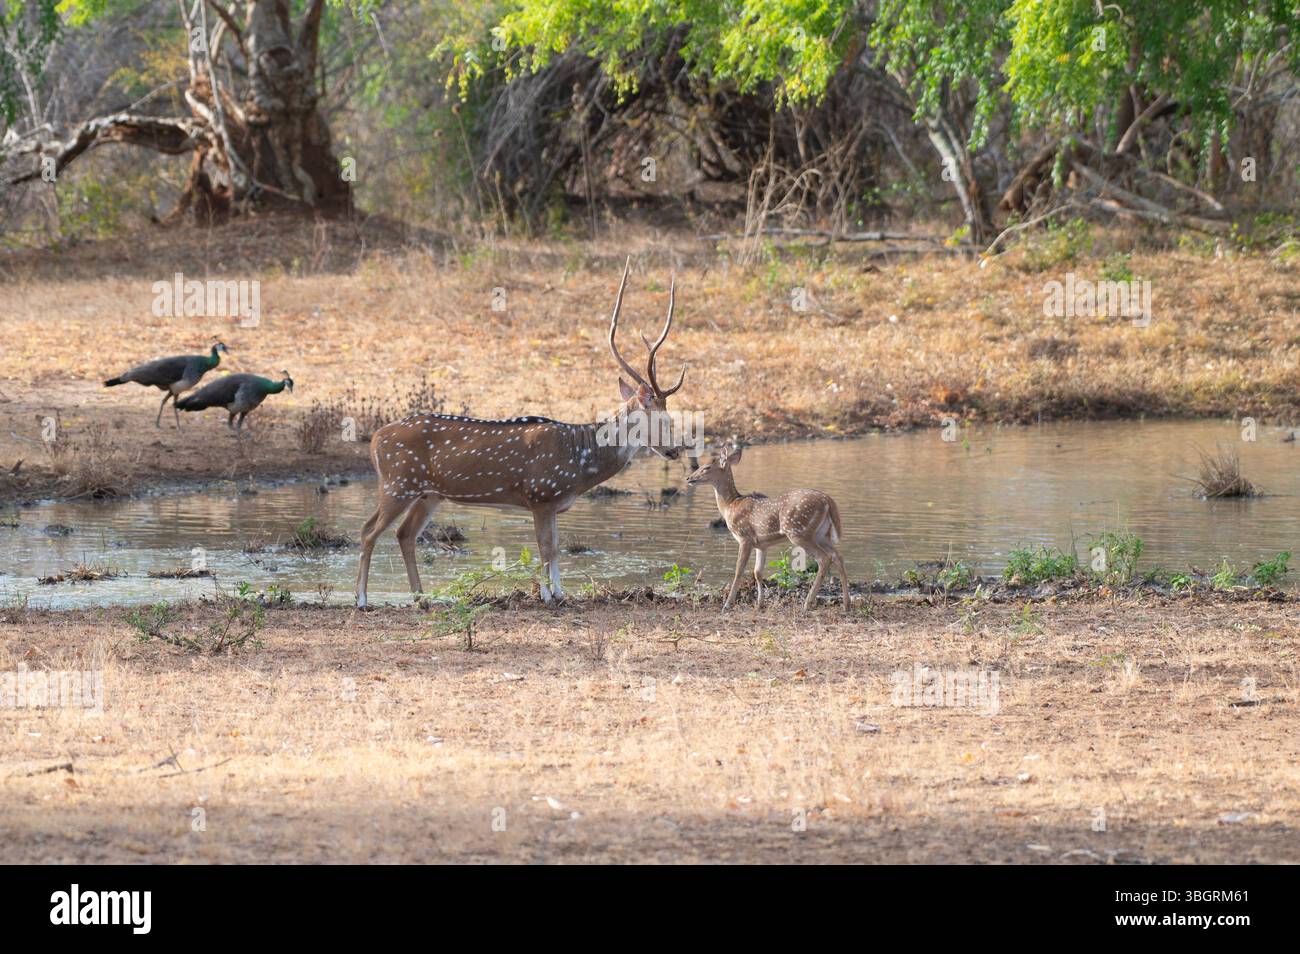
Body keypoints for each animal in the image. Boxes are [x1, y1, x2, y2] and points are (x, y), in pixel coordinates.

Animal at [355, 260, 687, 609]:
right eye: (662, 418)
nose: (676, 450)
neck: (580, 463)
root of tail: (375, 440)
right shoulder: (541, 494)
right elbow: (545, 547)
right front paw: (547, 596)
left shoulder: (553, 503)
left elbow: (555, 548)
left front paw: (560, 593)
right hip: (397, 483)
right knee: (368, 530)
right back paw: (362, 599)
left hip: (427, 493)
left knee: (404, 534)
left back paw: (422, 598)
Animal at [686, 445, 851, 611]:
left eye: (707, 467)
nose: (689, 478)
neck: (730, 506)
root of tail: (828, 501)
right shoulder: (761, 545)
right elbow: (757, 572)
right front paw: (760, 603)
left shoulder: (744, 537)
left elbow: (739, 570)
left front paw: (727, 604)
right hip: (821, 534)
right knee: (837, 556)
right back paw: (846, 604)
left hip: (799, 531)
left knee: (824, 558)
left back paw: (808, 603)